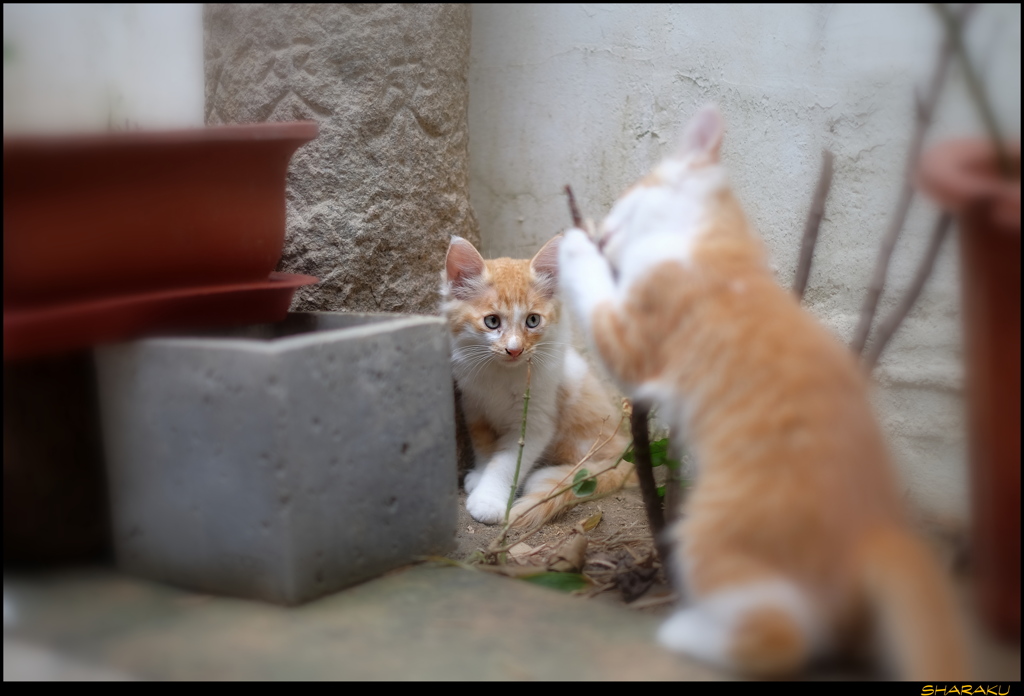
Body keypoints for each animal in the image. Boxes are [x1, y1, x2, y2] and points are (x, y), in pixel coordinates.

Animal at [557, 107, 962, 679]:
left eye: (627, 195)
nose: (604, 225)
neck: (713, 244)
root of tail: (877, 527)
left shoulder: (635, 341)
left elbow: (595, 296)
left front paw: (574, 241)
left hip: (709, 534)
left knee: (783, 637)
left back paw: (687, 632)